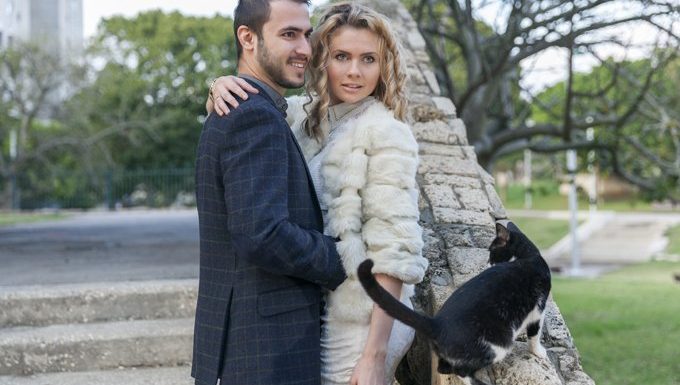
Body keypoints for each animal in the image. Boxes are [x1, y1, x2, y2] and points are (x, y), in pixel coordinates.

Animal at [356, 220, 552, 382]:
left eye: (491, 253)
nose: (486, 264)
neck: (528, 256)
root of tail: (437, 324)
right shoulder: (538, 309)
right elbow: (534, 334)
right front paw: (539, 352)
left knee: (443, 368)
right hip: (498, 345)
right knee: (460, 370)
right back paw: (476, 381)